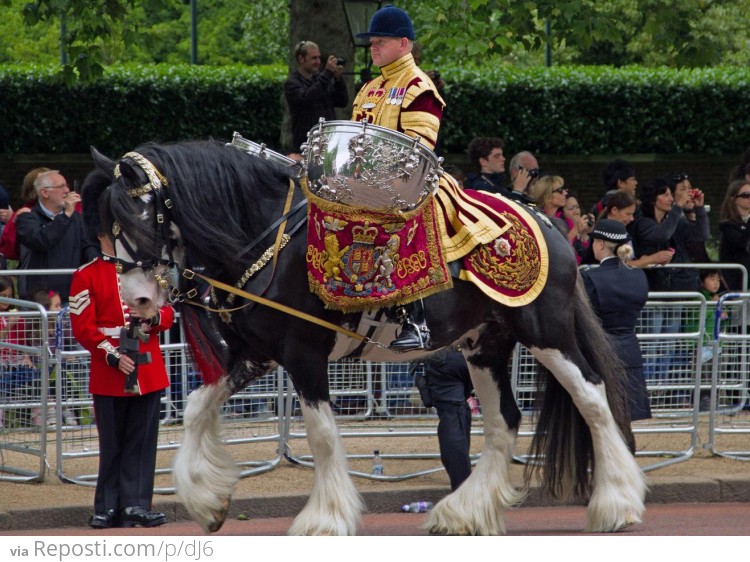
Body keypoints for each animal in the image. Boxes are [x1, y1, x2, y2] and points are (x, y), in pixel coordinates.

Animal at [81, 122, 648, 532]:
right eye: (106, 229)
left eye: (141, 217)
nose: (137, 301)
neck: (267, 240)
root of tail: (547, 222)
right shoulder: (256, 354)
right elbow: (198, 407)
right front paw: (207, 501)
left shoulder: (304, 355)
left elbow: (322, 435)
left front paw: (324, 520)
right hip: (485, 345)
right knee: (504, 421)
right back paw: (462, 514)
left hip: (545, 333)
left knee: (592, 398)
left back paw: (617, 504)